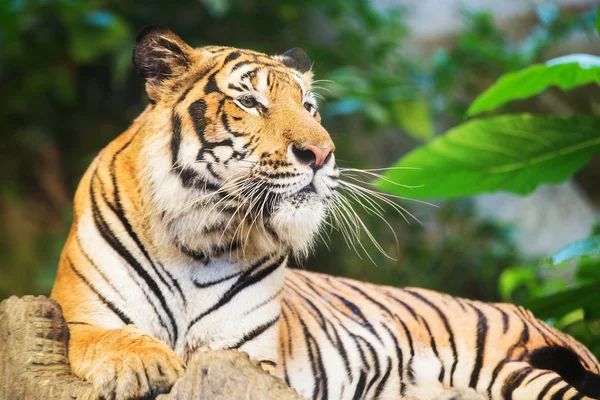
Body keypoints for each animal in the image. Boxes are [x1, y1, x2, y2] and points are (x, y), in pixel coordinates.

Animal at [50, 25, 600, 400]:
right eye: (249, 102)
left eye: (309, 107)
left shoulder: (249, 357)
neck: (199, 241)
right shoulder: (80, 314)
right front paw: (143, 365)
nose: (321, 153)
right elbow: (107, 336)